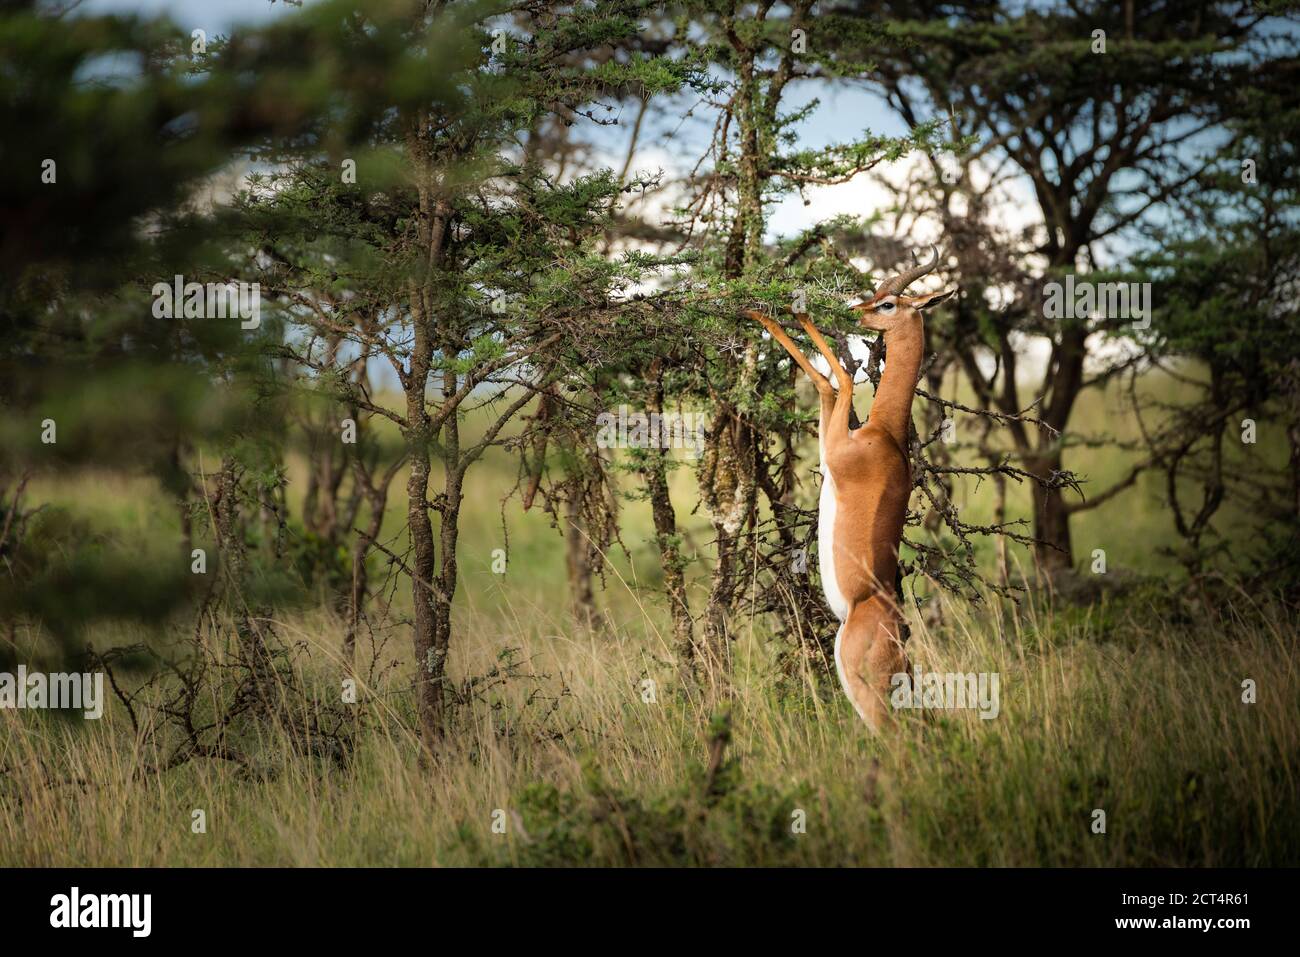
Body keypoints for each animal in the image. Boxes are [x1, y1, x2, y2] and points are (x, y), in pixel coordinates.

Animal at [748, 250, 951, 728]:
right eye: (875, 293)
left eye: (888, 303)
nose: (854, 311)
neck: (884, 434)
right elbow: (827, 385)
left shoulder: (837, 452)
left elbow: (835, 378)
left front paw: (780, 311)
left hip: (868, 697)